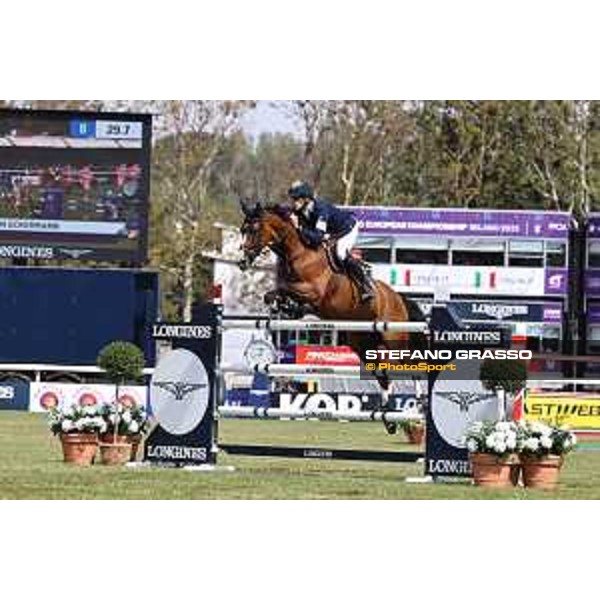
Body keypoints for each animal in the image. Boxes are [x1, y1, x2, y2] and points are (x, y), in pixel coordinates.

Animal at [237, 202, 424, 432]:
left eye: (254, 230)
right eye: (242, 230)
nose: (242, 261)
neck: (297, 252)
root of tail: (398, 297)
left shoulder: (313, 292)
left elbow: (284, 290)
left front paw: (287, 305)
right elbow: (273, 294)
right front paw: (286, 307)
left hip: (393, 339)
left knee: (411, 365)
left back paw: (418, 406)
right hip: (363, 342)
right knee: (382, 373)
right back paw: (388, 416)